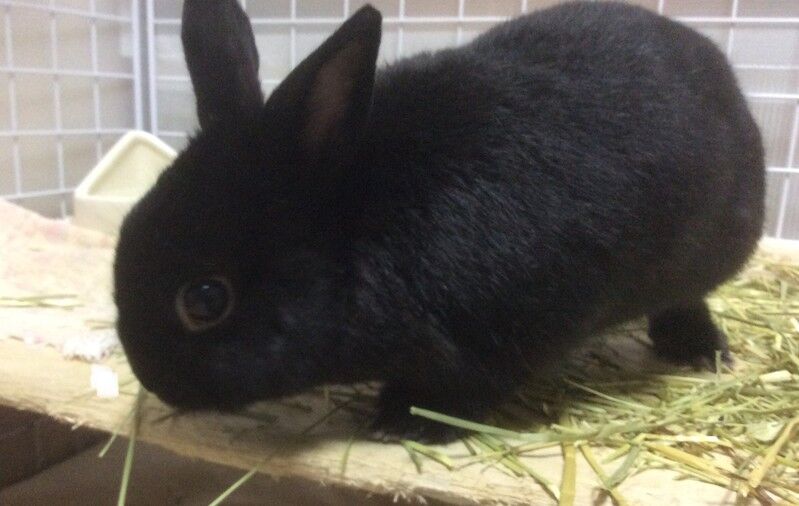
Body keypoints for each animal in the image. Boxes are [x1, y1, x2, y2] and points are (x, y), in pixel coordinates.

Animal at [114, 0, 764, 442]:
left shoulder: (503, 337)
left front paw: (402, 420)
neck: (360, 228)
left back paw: (699, 350)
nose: (151, 378)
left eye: (204, 300)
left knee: (685, 298)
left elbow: (464, 391)